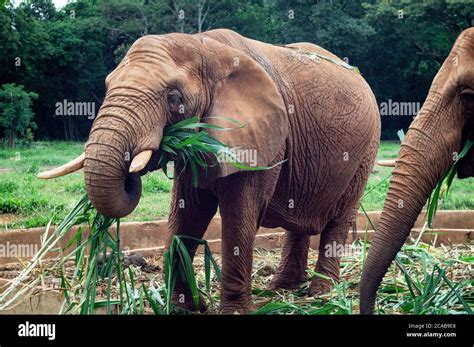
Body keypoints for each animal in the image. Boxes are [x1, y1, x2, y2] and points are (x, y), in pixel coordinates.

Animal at [39, 28, 382, 314]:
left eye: (174, 98)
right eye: (107, 86)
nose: (132, 171)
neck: (203, 46)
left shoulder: (260, 139)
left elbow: (239, 215)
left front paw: (232, 312)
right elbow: (188, 213)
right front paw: (185, 307)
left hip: (366, 150)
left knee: (339, 217)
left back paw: (321, 293)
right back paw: (280, 288)